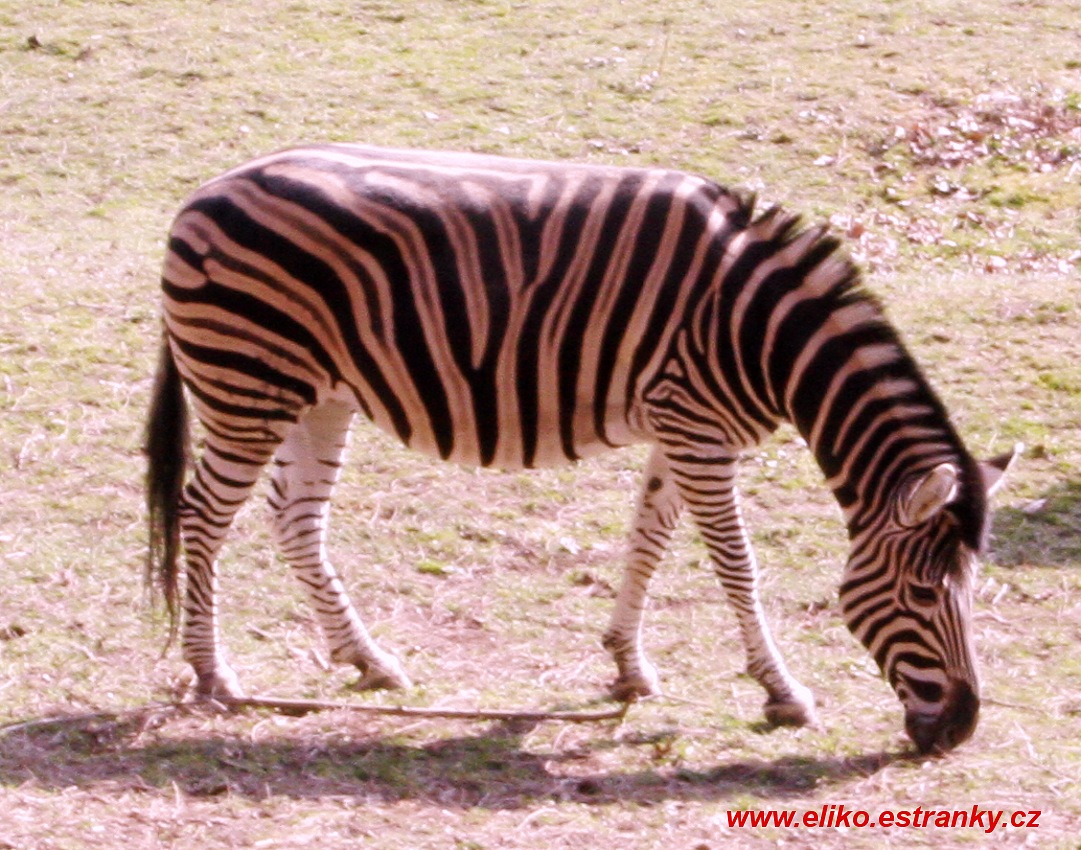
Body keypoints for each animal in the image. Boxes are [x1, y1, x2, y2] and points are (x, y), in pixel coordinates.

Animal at [146, 144, 1016, 753]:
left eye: (970, 589)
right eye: (920, 595)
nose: (959, 731)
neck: (761, 331)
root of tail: (202, 193)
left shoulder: (680, 426)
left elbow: (648, 543)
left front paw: (628, 667)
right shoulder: (697, 429)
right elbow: (736, 566)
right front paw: (783, 692)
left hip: (315, 395)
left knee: (296, 520)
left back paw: (367, 660)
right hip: (247, 386)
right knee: (202, 515)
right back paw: (213, 674)